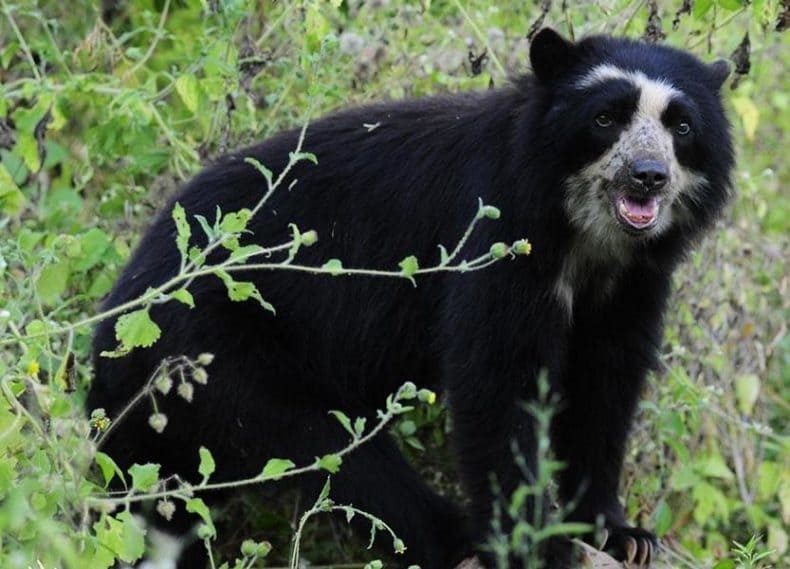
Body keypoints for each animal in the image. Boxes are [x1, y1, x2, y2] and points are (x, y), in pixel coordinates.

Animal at [88, 27, 736, 568]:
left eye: (681, 127)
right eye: (605, 118)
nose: (648, 176)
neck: (588, 236)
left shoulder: (633, 283)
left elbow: (605, 387)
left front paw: (618, 533)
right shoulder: (500, 242)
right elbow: (498, 383)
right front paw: (535, 544)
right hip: (217, 352)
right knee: (335, 451)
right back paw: (455, 538)